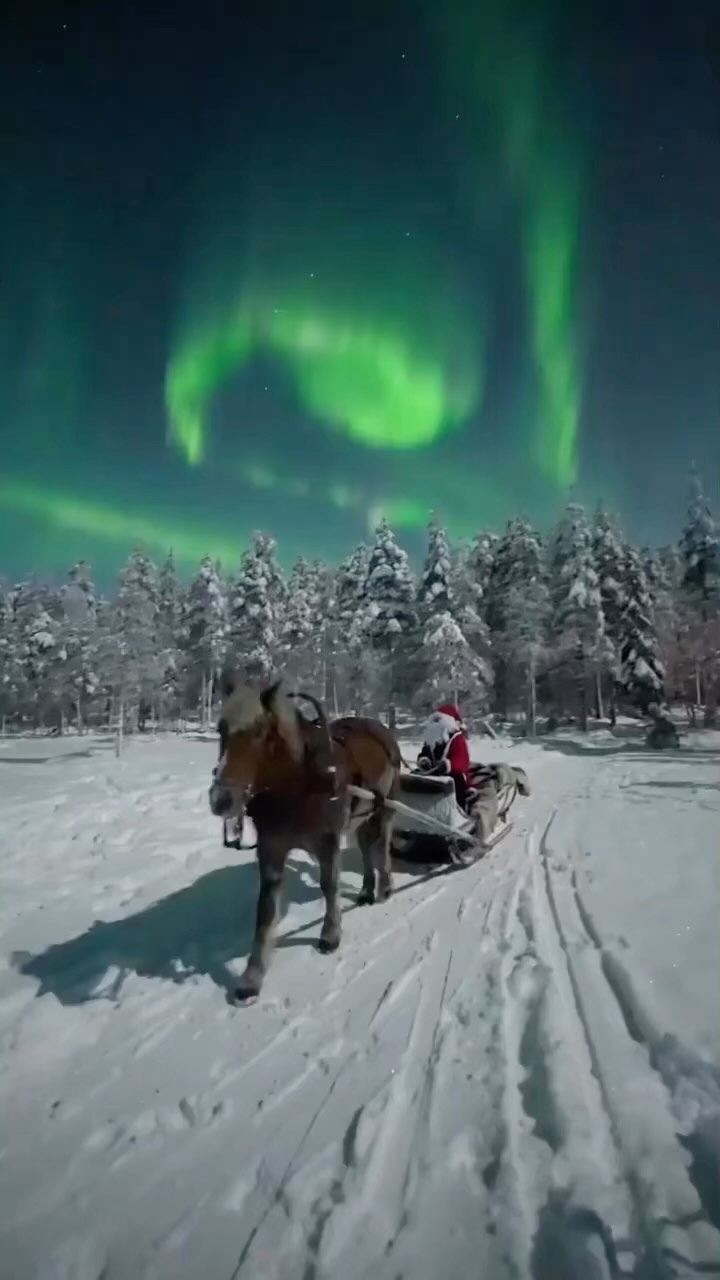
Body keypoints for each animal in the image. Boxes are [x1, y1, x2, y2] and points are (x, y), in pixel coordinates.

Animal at [208, 677, 403, 999]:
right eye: (220, 729)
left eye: (259, 731)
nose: (221, 800)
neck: (298, 784)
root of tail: (381, 729)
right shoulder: (271, 848)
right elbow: (265, 908)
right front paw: (252, 977)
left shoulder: (327, 840)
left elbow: (329, 885)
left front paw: (331, 935)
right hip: (361, 816)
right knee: (365, 849)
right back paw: (366, 891)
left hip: (385, 808)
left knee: (381, 846)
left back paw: (385, 887)